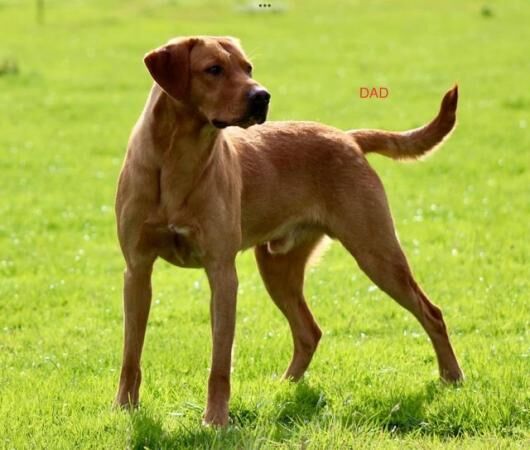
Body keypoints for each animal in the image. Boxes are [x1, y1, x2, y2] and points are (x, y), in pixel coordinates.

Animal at [113, 36, 460, 426]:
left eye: (248, 67)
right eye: (213, 69)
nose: (262, 96)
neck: (177, 161)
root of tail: (348, 137)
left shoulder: (221, 271)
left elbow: (220, 362)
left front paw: (216, 419)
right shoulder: (137, 269)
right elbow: (131, 353)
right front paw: (124, 408)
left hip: (376, 251)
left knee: (431, 312)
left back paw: (452, 377)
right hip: (278, 266)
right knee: (309, 331)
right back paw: (283, 387)